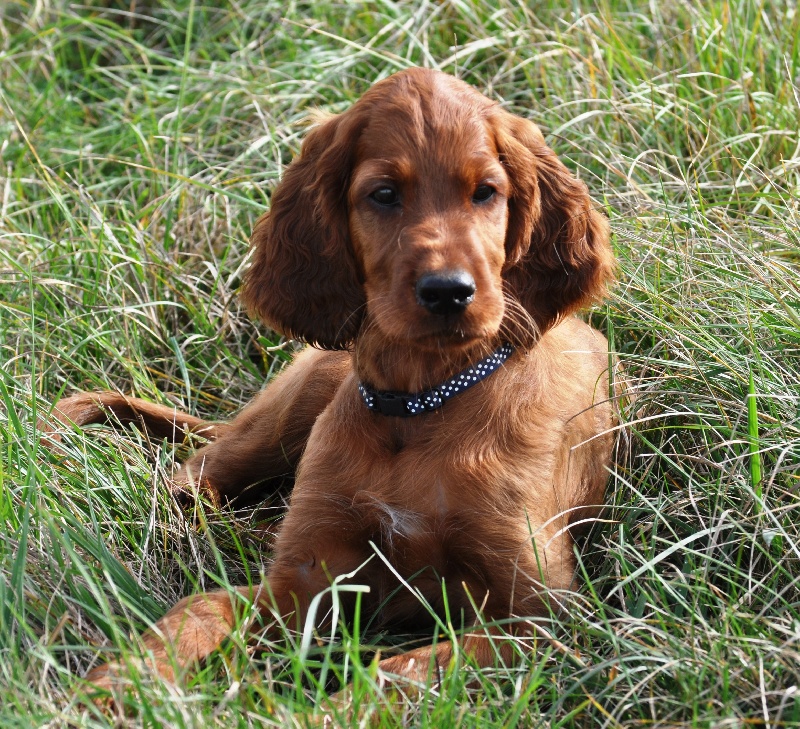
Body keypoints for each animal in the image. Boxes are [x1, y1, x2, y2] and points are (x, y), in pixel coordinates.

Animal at [53, 67, 616, 696]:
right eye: (384, 194)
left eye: (486, 192)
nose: (449, 292)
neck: (422, 404)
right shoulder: (301, 581)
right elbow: (202, 606)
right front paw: (123, 683)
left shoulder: (540, 617)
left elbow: (400, 674)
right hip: (282, 421)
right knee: (193, 476)